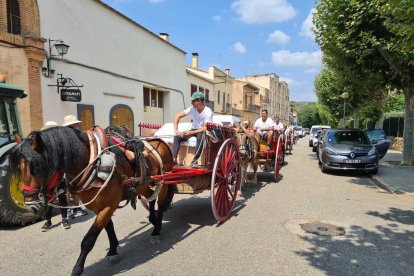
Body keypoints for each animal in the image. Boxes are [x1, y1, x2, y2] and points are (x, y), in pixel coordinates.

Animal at [9, 126, 175, 274]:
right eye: (19, 169)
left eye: (36, 168)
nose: (31, 205)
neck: (93, 164)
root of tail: (160, 141)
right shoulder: (99, 207)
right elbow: (109, 228)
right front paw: (113, 250)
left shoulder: (108, 206)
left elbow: (88, 239)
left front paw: (77, 268)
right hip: (146, 184)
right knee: (151, 198)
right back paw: (153, 220)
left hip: (164, 180)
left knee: (160, 205)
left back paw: (157, 229)